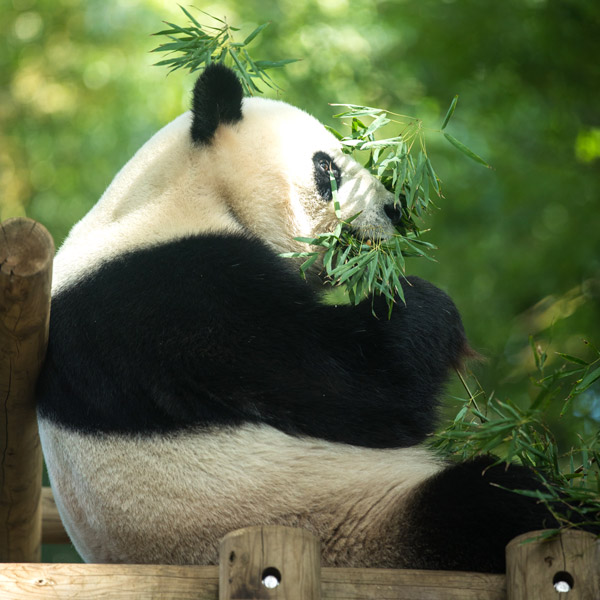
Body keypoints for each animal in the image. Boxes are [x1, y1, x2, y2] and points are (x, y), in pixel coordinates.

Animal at [36, 63, 556, 576]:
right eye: (326, 166)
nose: (395, 210)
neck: (178, 194)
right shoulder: (175, 298)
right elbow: (361, 388)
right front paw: (420, 301)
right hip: (343, 518)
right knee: (489, 502)